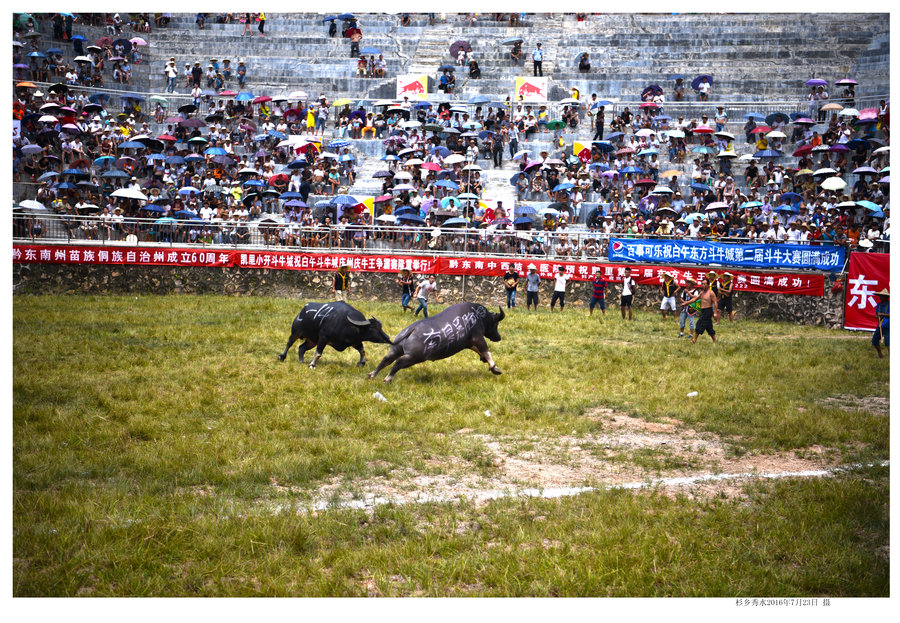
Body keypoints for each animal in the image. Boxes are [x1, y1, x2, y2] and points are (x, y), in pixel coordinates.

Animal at [368, 302, 506, 382]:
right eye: (496, 323)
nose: (498, 337)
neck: (478, 315)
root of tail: (411, 329)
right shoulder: (478, 337)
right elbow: (486, 351)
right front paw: (494, 368)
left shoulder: (468, 343)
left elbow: (479, 351)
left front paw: (487, 362)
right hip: (414, 357)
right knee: (398, 362)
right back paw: (387, 378)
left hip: (396, 350)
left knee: (386, 359)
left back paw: (372, 374)